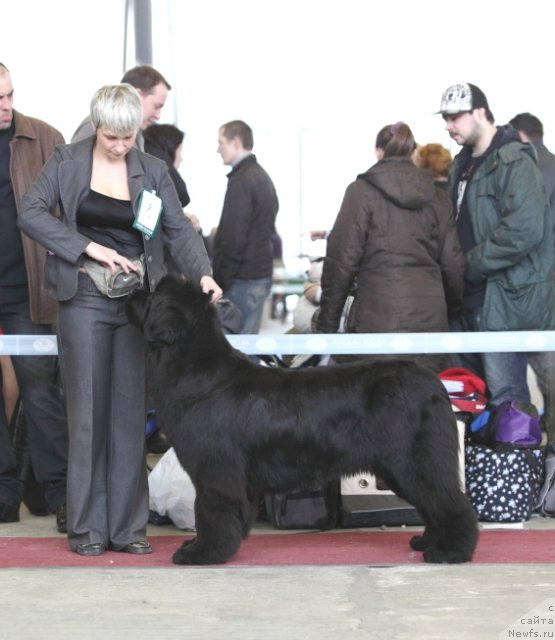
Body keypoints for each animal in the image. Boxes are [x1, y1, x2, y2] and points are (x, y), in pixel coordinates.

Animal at [126, 276, 478, 564]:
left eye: (153, 294)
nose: (131, 290)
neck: (193, 367)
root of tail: (435, 383)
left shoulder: (215, 471)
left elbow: (211, 512)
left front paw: (203, 553)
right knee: (436, 506)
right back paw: (427, 542)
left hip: (415, 462)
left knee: (452, 504)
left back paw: (450, 551)